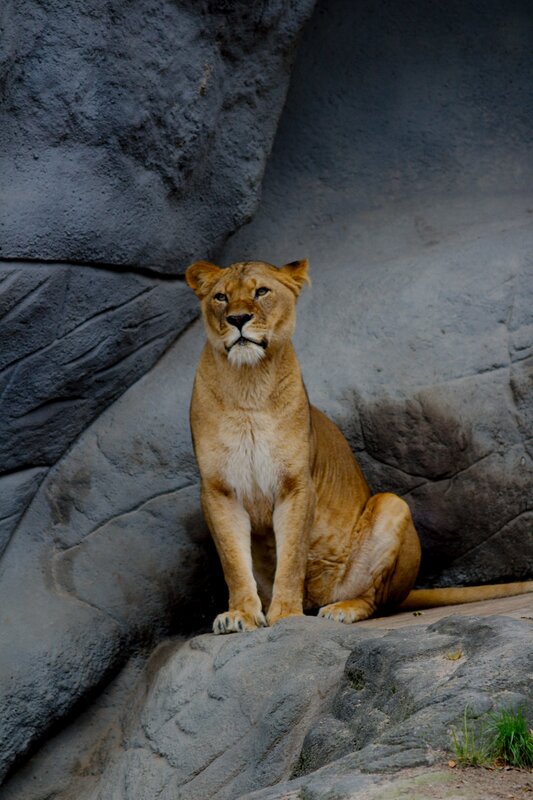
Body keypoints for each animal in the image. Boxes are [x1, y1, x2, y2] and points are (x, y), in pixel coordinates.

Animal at [185, 258, 533, 634]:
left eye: (261, 291)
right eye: (221, 297)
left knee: (374, 600)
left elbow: (291, 558)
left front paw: (287, 616)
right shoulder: (219, 491)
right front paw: (241, 614)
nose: (237, 319)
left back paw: (342, 609)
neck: (247, 385)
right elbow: (234, 562)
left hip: (392, 506)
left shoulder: (296, 485)